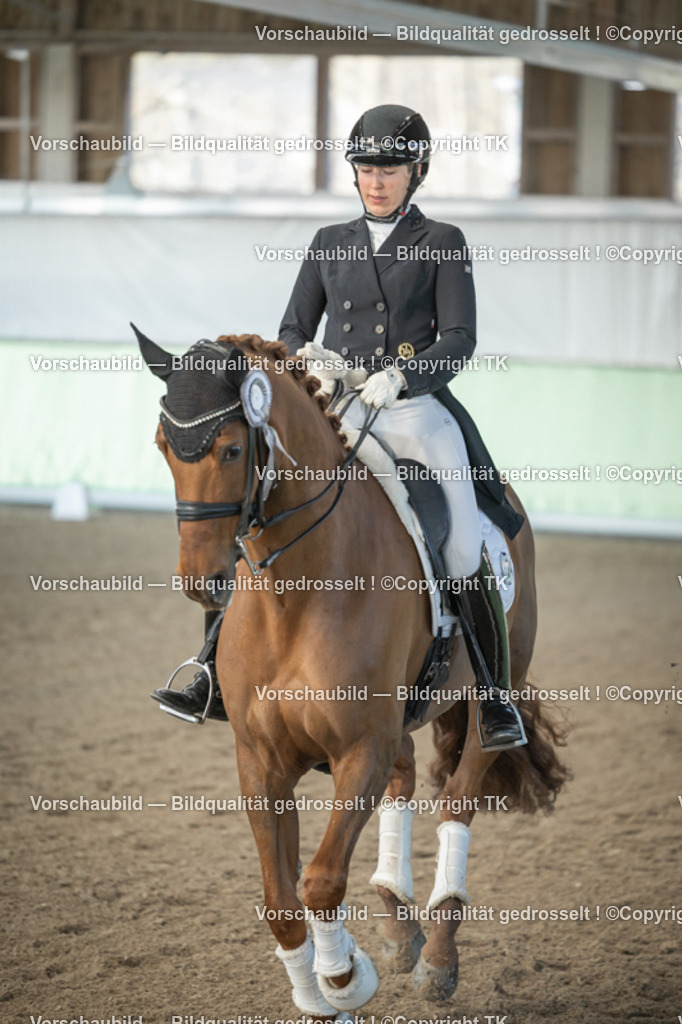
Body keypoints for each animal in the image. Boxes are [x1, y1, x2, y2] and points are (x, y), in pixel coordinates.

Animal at [135, 326, 569, 1022]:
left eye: (233, 448)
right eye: (163, 448)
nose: (202, 582)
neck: (298, 592)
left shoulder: (360, 749)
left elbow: (319, 880)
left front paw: (344, 979)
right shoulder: (261, 759)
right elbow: (281, 901)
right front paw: (315, 991)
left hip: (481, 703)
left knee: (457, 801)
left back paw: (437, 958)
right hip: (396, 725)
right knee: (406, 779)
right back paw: (397, 924)